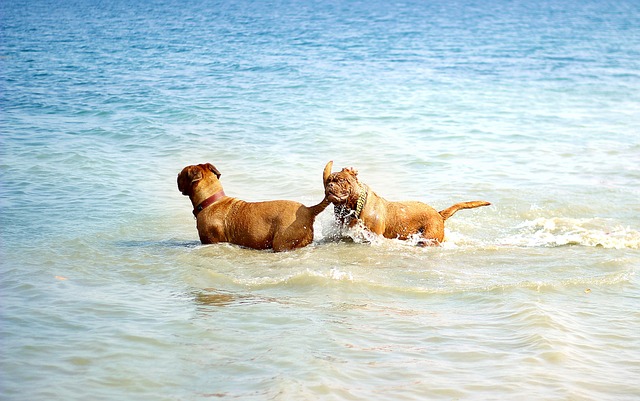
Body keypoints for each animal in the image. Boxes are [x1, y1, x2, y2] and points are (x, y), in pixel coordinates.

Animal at [179, 162, 330, 250]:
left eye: (182, 174)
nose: (177, 174)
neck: (210, 200)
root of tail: (309, 210)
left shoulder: (211, 241)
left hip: (281, 243)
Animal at [322, 160, 492, 244]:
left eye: (341, 180)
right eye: (329, 180)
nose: (330, 185)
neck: (354, 206)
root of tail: (438, 214)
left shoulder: (373, 236)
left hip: (428, 237)